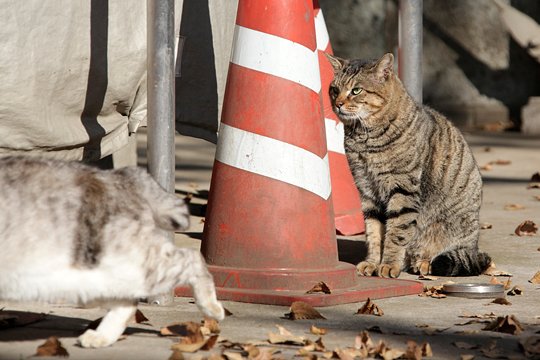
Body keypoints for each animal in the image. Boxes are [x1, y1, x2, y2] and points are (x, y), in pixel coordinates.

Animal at [0, 156, 224, 348]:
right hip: (84, 279)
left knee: (191, 258)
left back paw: (211, 307)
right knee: (126, 301)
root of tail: (121, 175)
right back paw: (102, 335)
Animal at [322, 52, 492, 278]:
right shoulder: (367, 190)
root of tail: (475, 246)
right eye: (334, 89)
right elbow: (374, 232)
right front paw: (372, 262)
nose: (338, 103)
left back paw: (424, 262)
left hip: (456, 233)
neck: (364, 139)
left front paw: (388, 264)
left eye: (356, 90)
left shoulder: (402, 188)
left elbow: (396, 231)